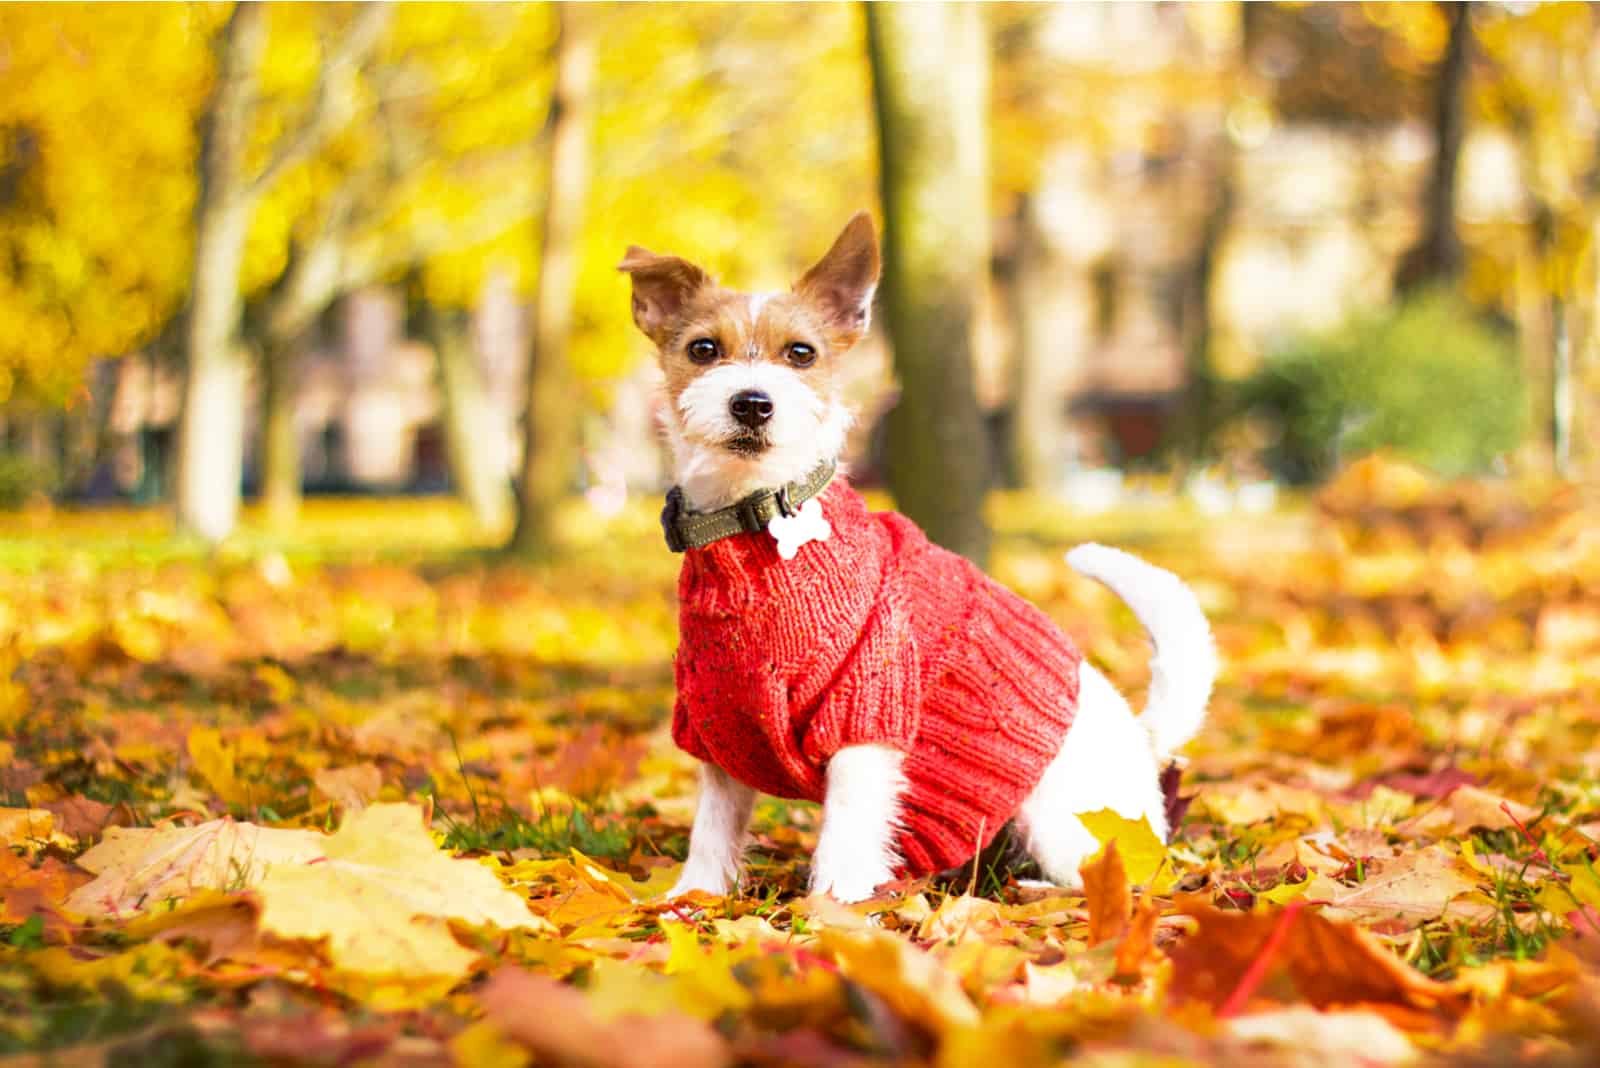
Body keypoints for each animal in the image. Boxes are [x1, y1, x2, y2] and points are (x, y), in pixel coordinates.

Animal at [617, 211, 1216, 901]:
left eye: (801, 353)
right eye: (702, 350)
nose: (752, 403)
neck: (755, 519)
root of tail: (1142, 743)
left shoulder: (868, 709)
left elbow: (847, 829)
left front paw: (835, 908)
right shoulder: (725, 723)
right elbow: (712, 828)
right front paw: (694, 898)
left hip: (1059, 819)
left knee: (1116, 872)